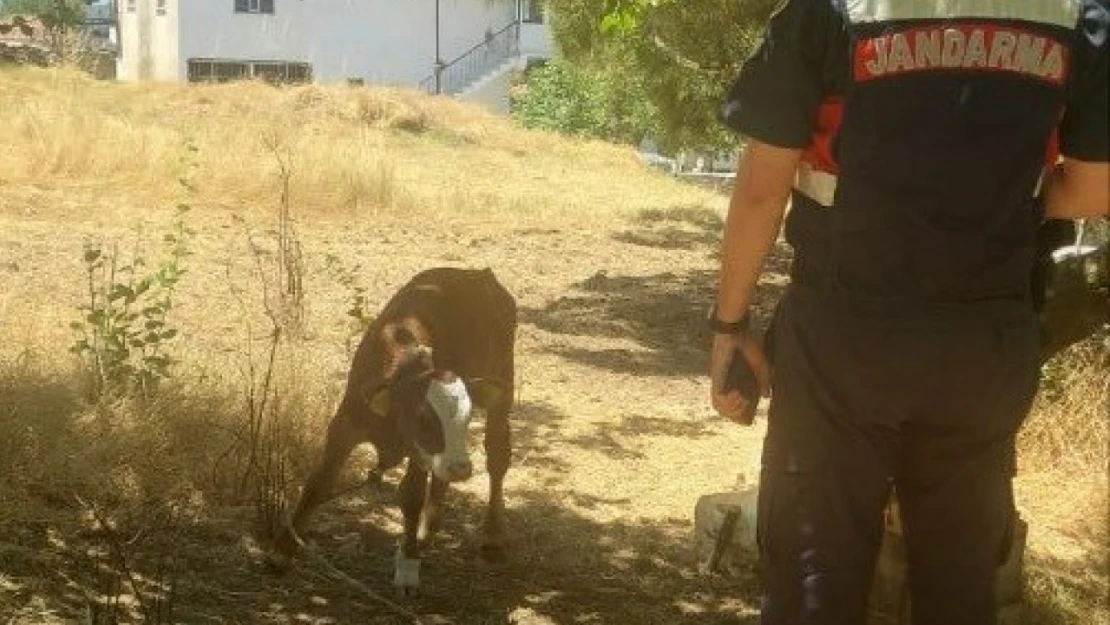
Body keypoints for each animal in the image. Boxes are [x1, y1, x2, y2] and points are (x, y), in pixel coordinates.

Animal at [277, 267, 519, 590]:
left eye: (468, 418)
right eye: (422, 418)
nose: (462, 469)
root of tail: (478, 274)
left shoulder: (416, 451)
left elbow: (410, 496)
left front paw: (407, 565)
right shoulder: (344, 425)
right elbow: (319, 482)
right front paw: (282, 550)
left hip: (504, 384)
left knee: (497, 455)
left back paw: (492, 534)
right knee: (442, 477)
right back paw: (428, 530)